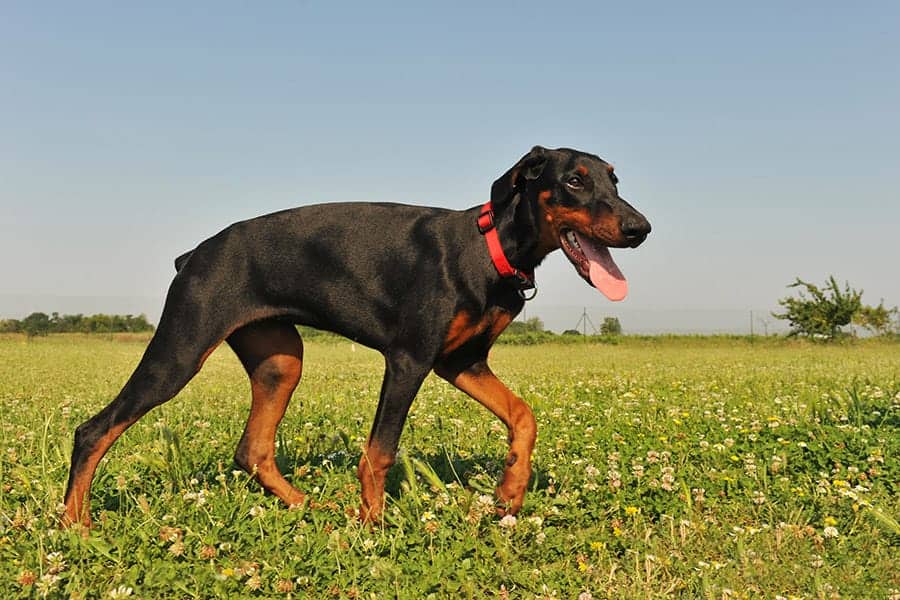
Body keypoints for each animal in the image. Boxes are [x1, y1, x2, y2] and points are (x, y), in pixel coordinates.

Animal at [65, 144, 652, 524]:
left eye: (615, 179)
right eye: (574, 179)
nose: (640, 229)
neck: (489, 247)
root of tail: (192, 255)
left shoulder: (461, 361)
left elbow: (524, 415)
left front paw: (510, 490)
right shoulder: (410, 359)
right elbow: (380, 452)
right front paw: (373, 528)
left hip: (281, 359)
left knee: (253, 449)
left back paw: (310, 508)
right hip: (181, 351)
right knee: (94, 430)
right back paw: (77, 525)